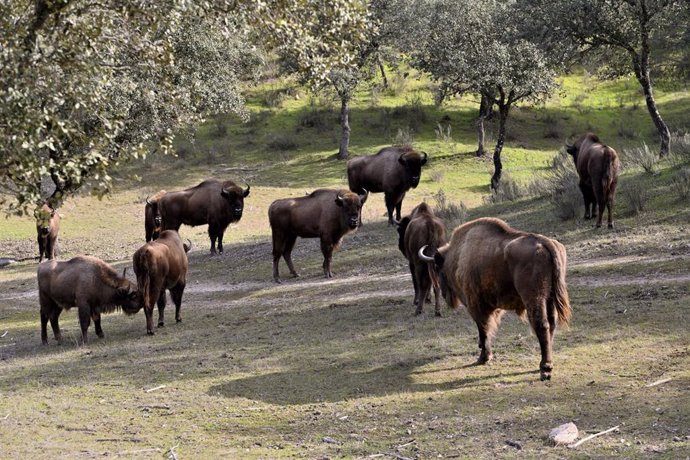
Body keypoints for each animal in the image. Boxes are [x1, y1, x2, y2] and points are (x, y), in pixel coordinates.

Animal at [420, 217, 568, 380]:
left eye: (437, 267)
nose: (444, 293)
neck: (459, 254)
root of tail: (544, 242)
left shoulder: (476, 306)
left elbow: (483, 329)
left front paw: (483, 357)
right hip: (550, 298)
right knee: (551, 324)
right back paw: (546, 363)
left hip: (534, 298)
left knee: (542, 325)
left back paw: (545, 369)